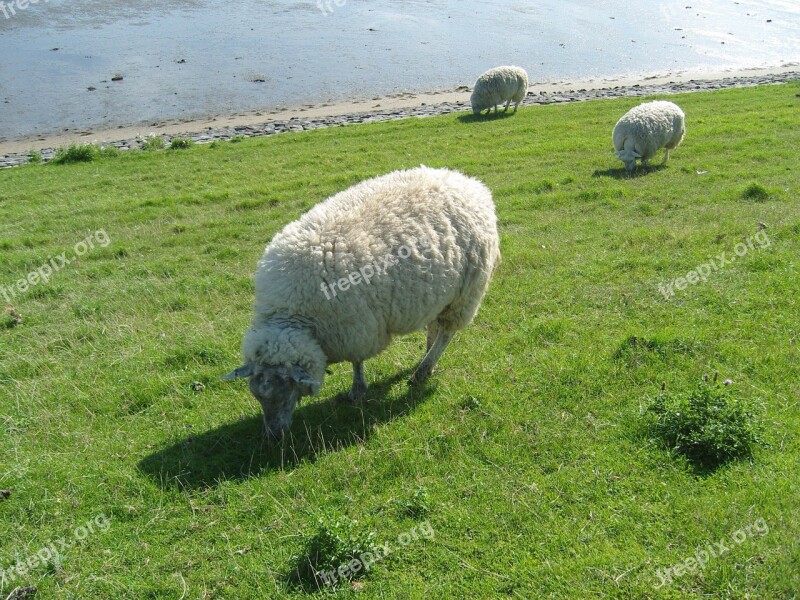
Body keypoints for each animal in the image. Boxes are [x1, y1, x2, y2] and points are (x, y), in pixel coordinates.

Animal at [222, 166, 500, 438]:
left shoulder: (355, 327)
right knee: (434, 325)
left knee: (447, 332)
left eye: (287, 387)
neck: (292, 314)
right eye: (257, 396)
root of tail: (470, 183)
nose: (274, 436)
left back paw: (422, 371)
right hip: (441, 293)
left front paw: (357, 390)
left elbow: (356, 361)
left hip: (466, 293)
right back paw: (426, 355)